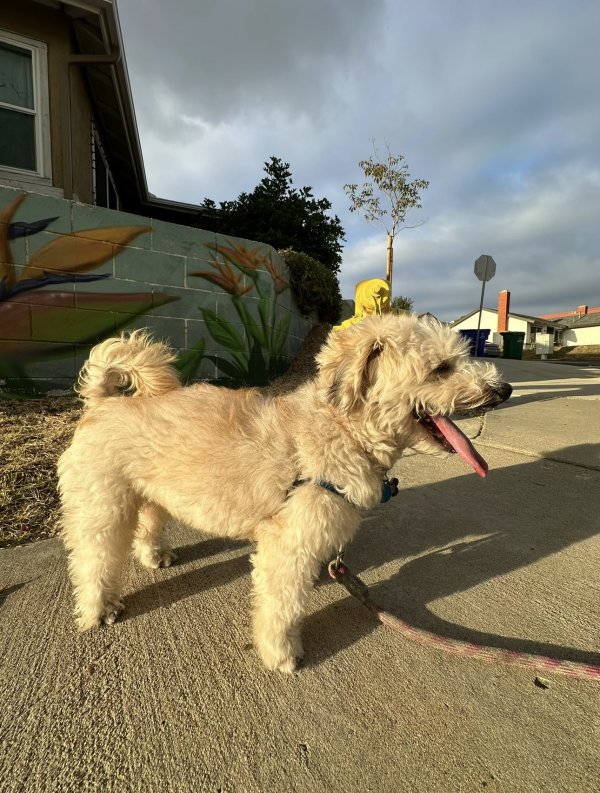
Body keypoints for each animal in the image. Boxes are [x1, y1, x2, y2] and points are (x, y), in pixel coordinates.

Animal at [59, 312, 510, 672]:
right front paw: (281, 654)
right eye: (441, 368)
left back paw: (155, 556)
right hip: (103, 506)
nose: (503, 389)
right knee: (94, 558)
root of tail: (101, 403)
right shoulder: (287, 544)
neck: (340, 429)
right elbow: (282, 605)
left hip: (151, 494)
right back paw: (98, 608)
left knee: (147, 525)